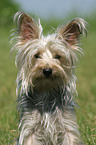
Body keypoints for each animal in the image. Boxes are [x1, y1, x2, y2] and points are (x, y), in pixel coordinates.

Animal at [10, 11, 86, 145]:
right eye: (36, 55)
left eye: (58, 56)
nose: (47, 70)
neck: (46, 89)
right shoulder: (30, 127)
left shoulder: (67, 126)